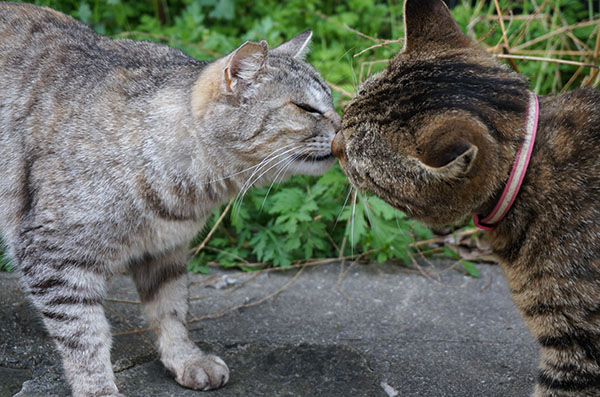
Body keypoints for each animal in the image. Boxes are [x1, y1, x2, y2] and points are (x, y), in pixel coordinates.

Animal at [0, 3, 340, 396]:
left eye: (332, 102)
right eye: (307, 108)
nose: (343, 127)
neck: (188, 191)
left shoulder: (166, 250)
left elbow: (171, 310)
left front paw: (186, 359)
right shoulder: (53, 257)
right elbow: (84, 335)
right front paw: (98, 388)